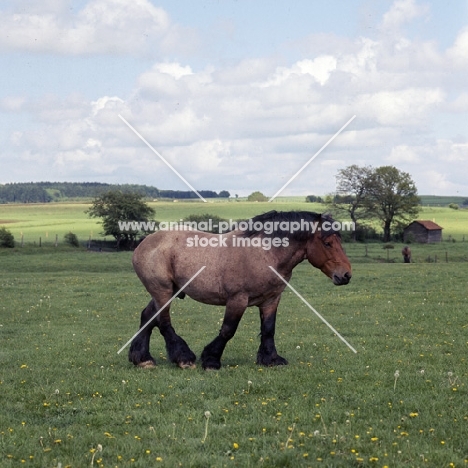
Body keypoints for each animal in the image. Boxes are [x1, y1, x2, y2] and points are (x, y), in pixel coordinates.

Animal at [128, 211, 352, 370]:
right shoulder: (238, 299)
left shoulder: (272, 299)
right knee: (163, 322)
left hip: (167, 291)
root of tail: (144, 243)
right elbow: (228, 330)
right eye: (327, 243)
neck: (264, 252)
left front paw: (270, 359)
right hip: (163, 291)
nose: (346, 275)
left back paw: (142, 359)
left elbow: (268, 329)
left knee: (148, 316)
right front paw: (211, 360)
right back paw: (183, 358)